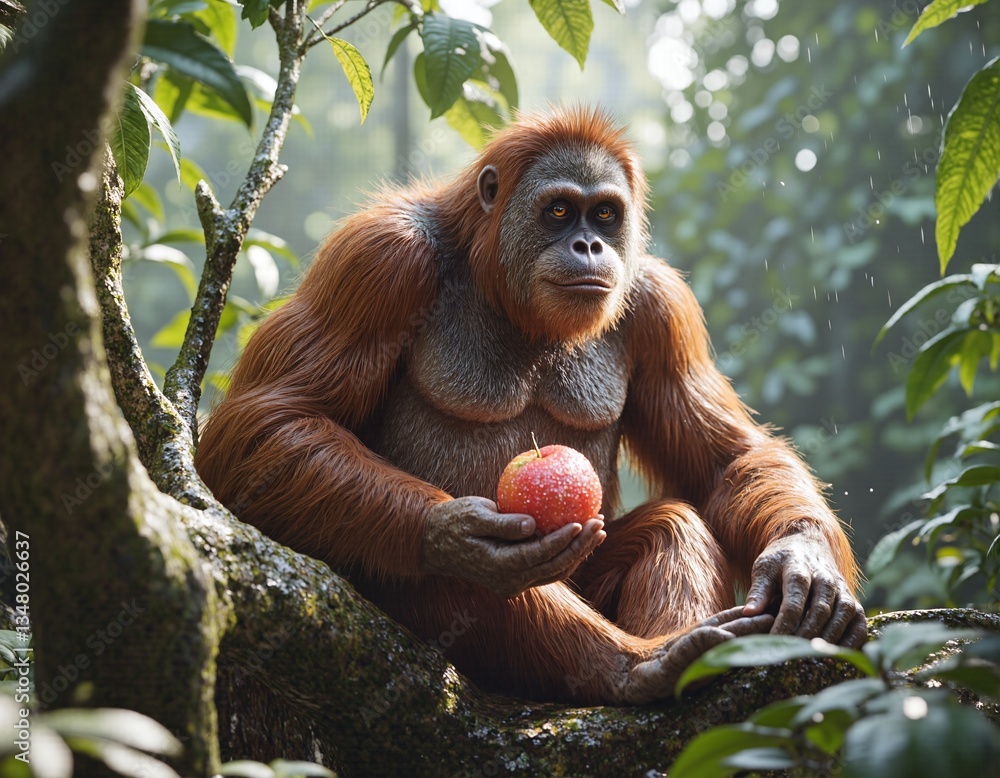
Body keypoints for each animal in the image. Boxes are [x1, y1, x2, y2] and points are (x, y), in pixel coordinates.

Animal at [195, 107, 866, 706]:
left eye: (604, 213)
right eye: (560, 210)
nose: (589, 244)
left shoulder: (660, 305)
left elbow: (725, 460)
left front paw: (802, 561)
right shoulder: (377, 258)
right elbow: (272, 418)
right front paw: (452, 531)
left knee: (675, 521)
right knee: (478, 577)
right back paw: (635, 667)